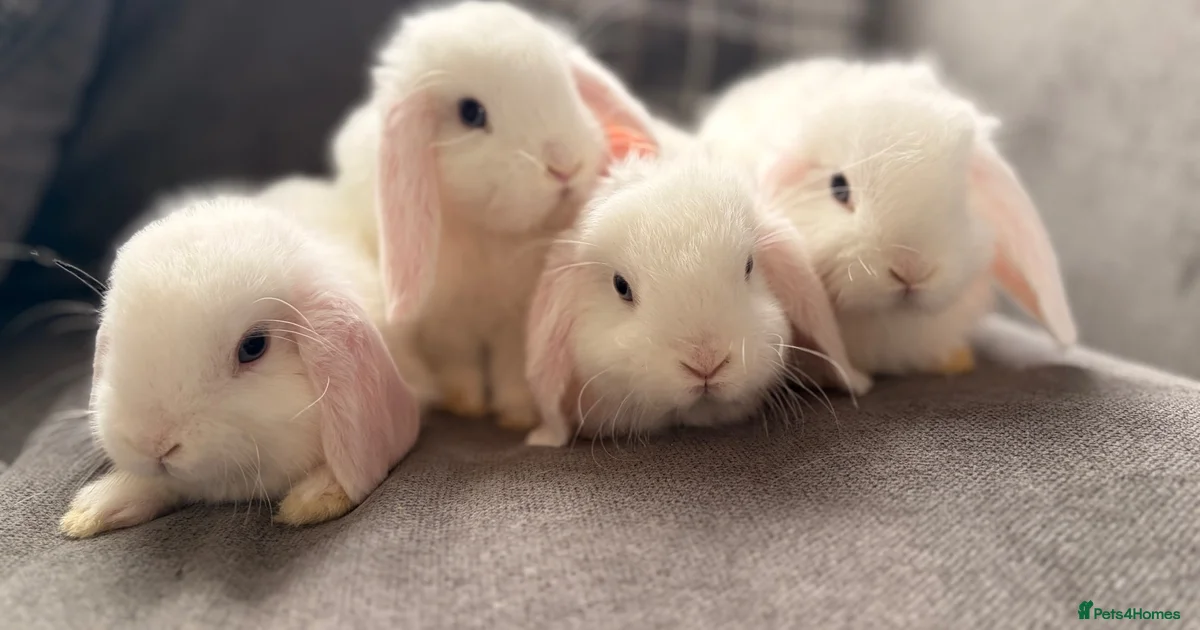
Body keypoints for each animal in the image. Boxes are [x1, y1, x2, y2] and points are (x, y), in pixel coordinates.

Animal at [325, 1, 659, 432]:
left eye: (568, 88)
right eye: (471, 113)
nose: (565, 165)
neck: (491, 233)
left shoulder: (516, 324)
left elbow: (513, 369)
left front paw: (516, 415)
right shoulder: (445, 324)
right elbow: (458, 364)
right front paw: (465, 404)